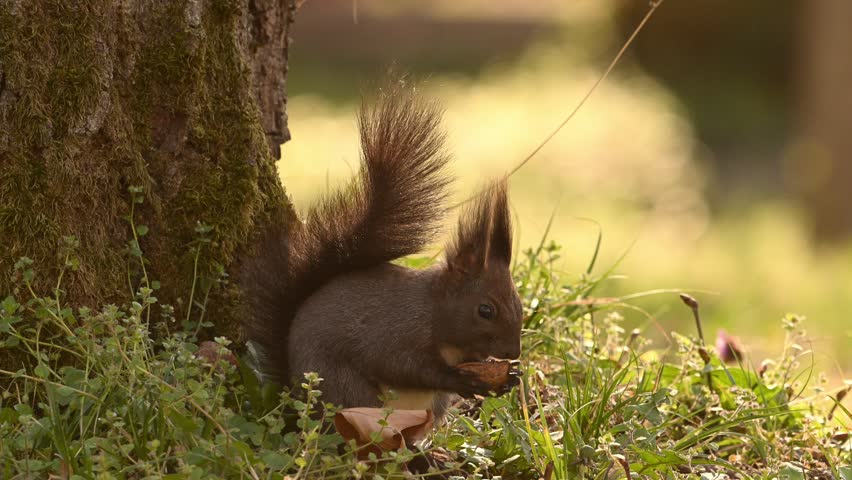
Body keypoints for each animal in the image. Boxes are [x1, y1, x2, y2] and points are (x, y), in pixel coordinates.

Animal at [242, 80, 522, 420]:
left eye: (519, 303)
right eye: (485, 310)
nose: (514, 352)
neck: (434, 311)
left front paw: (509, 377)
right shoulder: (395, 333)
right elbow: (405, 367)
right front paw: (462, 380)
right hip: (348, 391)